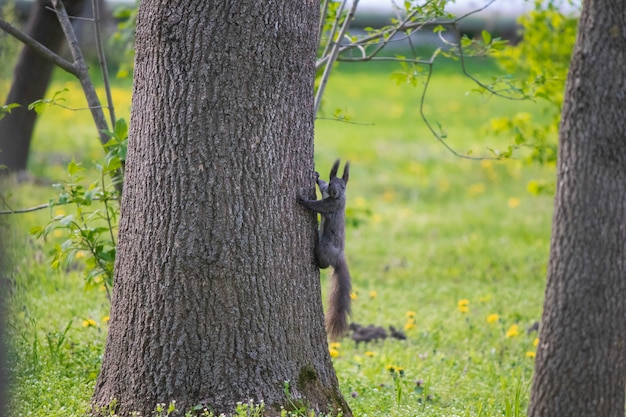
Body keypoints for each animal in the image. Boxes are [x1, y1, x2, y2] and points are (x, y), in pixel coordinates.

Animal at [298, 158, 352, 338]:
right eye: (331, 183)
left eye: (343, 187)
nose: (334, 192)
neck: (334, 197)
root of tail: (338, 257)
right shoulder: (325, 192)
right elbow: (320, 186)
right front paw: (316, 176)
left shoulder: (331, 205)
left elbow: (319, 206)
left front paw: (302, 200)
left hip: (324, 248)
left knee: (324, 262)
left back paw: (318, 263)